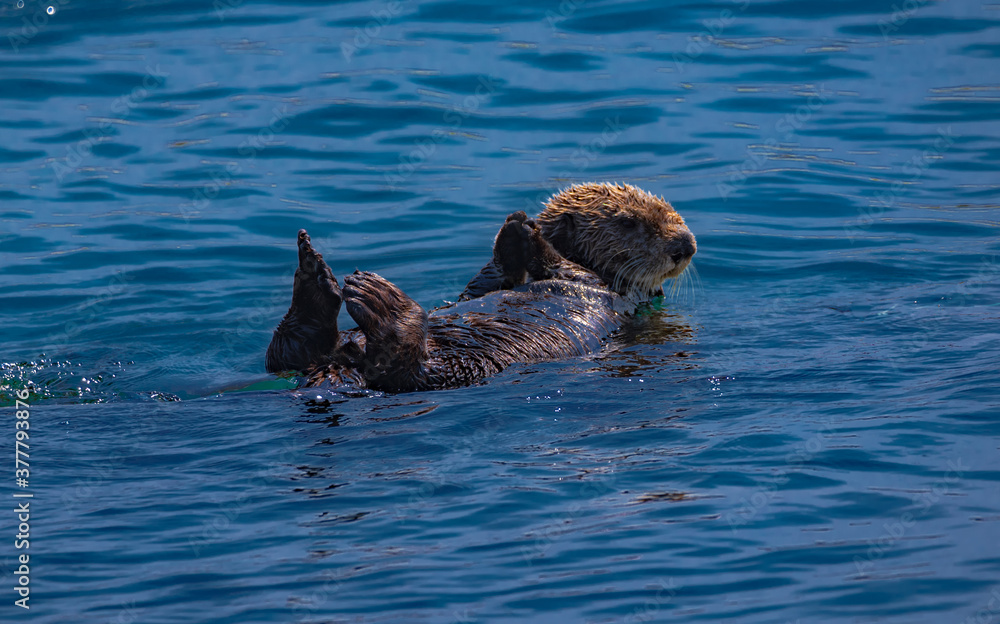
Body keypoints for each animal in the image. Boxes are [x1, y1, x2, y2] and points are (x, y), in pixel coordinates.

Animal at [265, 182, 696, 393]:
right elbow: (484, 282)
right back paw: (312, 272)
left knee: (401, 367)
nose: (686, 246)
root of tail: (341, 365)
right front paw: (516, 228)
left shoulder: (600, 287)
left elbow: (568, 269)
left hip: (457, 368)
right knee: (287, 353)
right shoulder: (482, 285)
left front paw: (528, 233)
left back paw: (376, 297)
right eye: (629, 222)